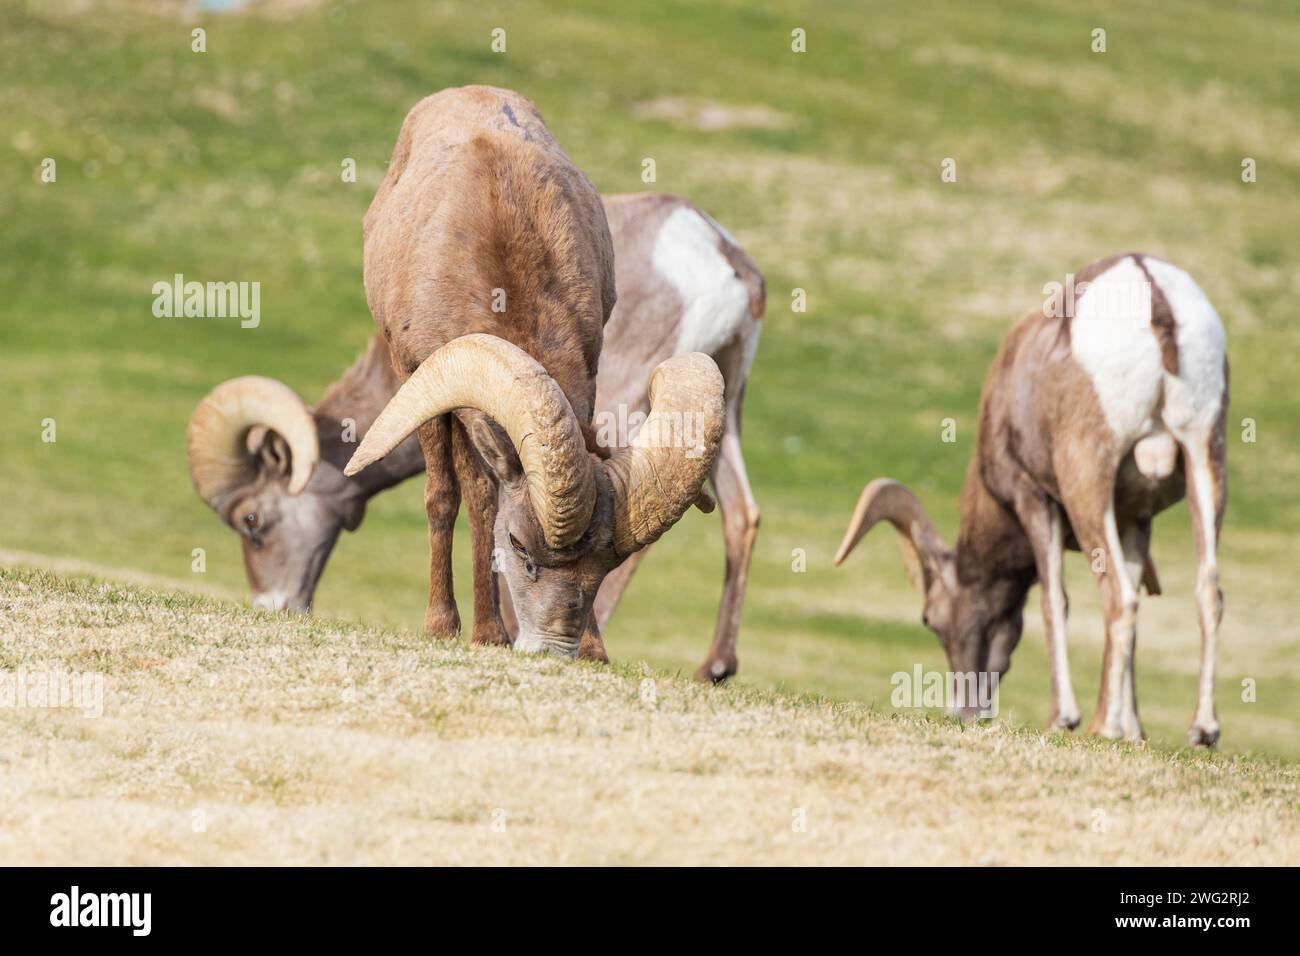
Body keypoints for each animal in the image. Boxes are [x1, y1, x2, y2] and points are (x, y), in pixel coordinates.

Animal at [186, 192, 762, 678]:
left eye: (253, 521)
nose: (275, 607)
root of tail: (721, 258)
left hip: (631, 404)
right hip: (726, 405)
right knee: (742, 515)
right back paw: (714, 669)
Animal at [834, 253, 1228, 746]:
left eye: (930, 619)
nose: (964, 712)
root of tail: (1153, 294)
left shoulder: (1033, 497)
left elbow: (1054, 602)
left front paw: (1066, 718)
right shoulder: (1136, 517)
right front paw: (1135, 731)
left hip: (1087, 479)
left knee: (1117, 595)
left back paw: (1100, 725)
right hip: (1205, 457)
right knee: (1207, 590)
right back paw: (1203, 729)